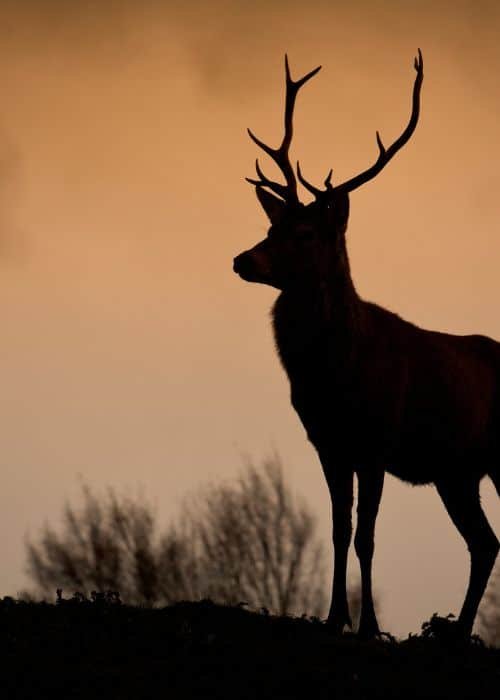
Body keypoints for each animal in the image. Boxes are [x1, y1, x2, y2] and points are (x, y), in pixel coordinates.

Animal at [233, 51, 500, 639]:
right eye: (272, 226)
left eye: (306, 233)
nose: (241, 259)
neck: (336, 375)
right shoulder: (328, 443)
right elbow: (337, 530)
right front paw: (335, 618)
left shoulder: (376, 440)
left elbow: (366, 536)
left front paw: (370, 627)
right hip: (458, 472)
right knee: (485, 542)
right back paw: (456, 632)